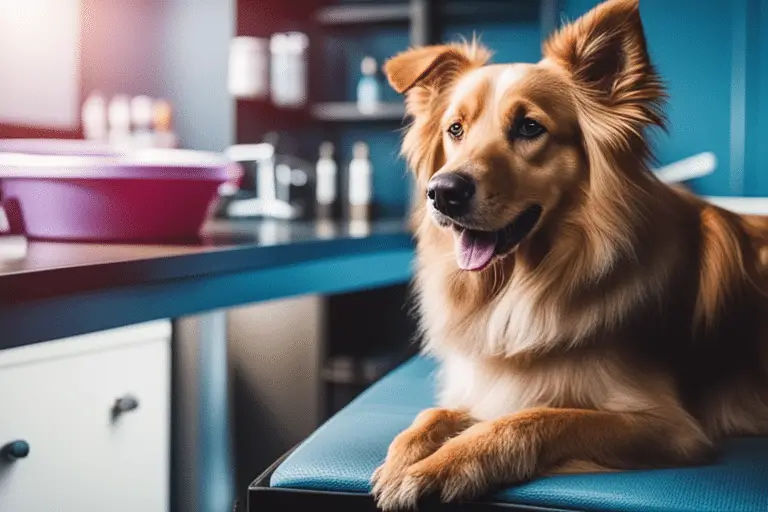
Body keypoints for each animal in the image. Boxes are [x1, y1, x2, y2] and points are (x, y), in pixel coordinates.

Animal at [368, 0, 768, 510]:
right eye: (455, 129)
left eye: (529, 127)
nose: (442, 192)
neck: (519, 284)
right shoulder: (483, 387)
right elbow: (432, 414)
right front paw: (404, 455)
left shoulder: (669, 425)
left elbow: (535, 418)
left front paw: (442, 466)